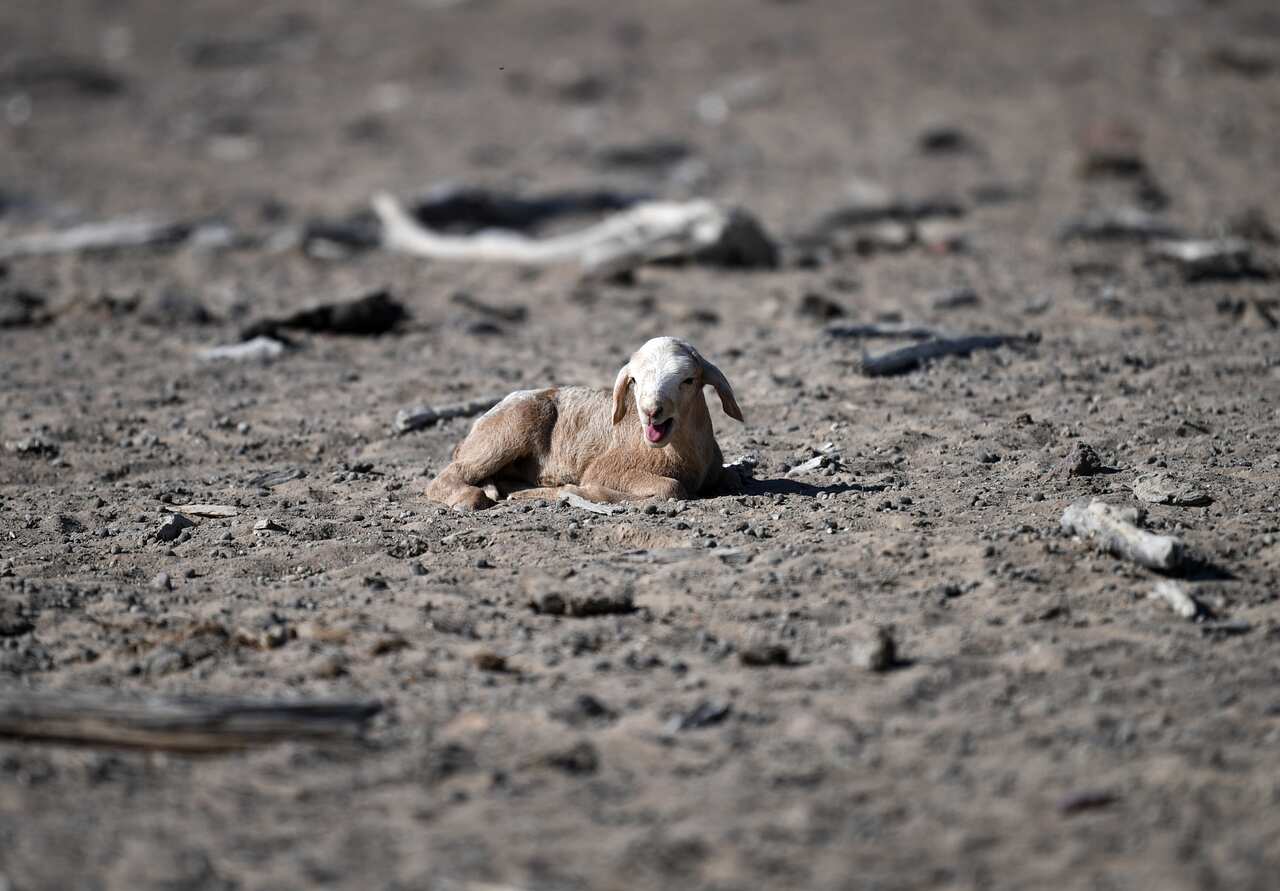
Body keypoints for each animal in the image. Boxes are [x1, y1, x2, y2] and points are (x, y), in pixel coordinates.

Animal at [425, 337, 745, 511]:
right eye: (634, 380)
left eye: (688, 380)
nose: (651, 411)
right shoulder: (606, 468)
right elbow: (671, 488)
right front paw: (578, 492)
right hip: (507, 431)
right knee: (445, 476)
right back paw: (470, 497)